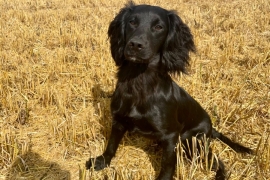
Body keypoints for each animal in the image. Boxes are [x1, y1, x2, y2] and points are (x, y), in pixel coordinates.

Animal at [87, 1, 253, 180]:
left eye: (158, 27)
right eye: (132, 22)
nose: (135, 45)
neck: (140, 81)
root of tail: (210, 129)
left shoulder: (170, 136)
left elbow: (167, 165)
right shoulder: (118, 120)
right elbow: (111, 144)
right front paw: (101, 161)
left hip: (192, 143)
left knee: (216, 161)